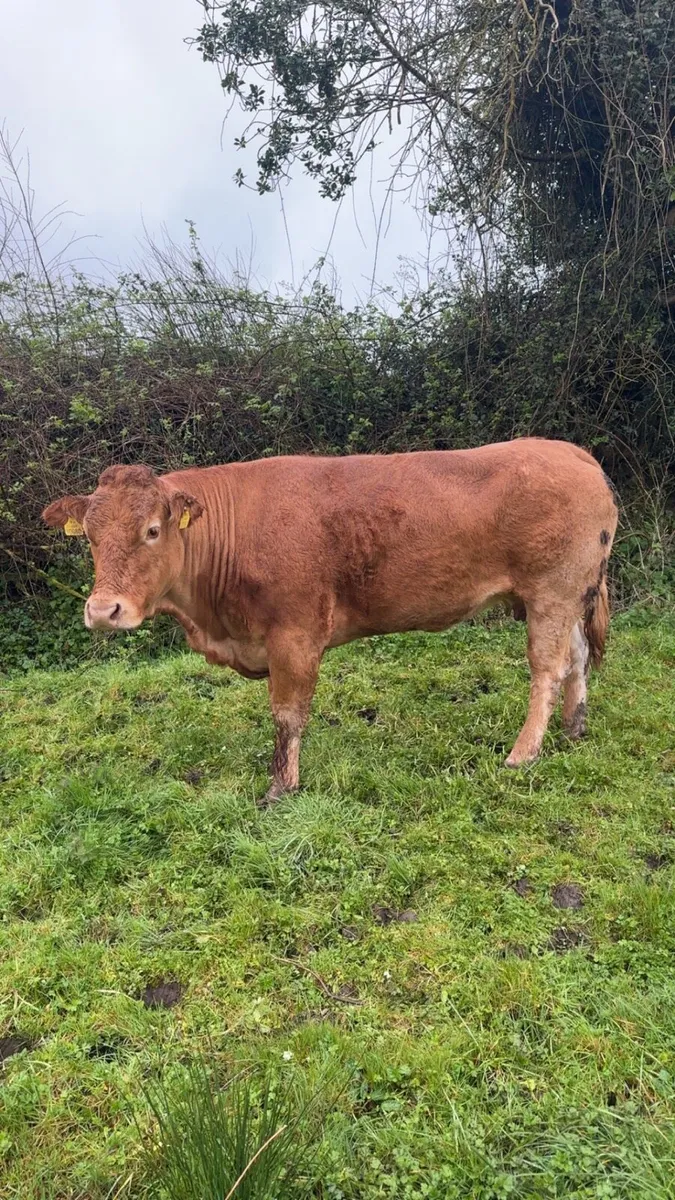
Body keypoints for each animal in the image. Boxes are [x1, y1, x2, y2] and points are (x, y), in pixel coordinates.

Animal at [43, 438, 618, 805]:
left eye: (153, 530)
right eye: (89, 535)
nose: (104, 610)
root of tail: (574, 453)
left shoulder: (294, 636)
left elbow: (287, 716)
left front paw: (281, 788)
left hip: (551, 591)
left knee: (547, 669)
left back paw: (524, 753)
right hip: (570, 595)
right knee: (577, 659)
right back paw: (575, 729)